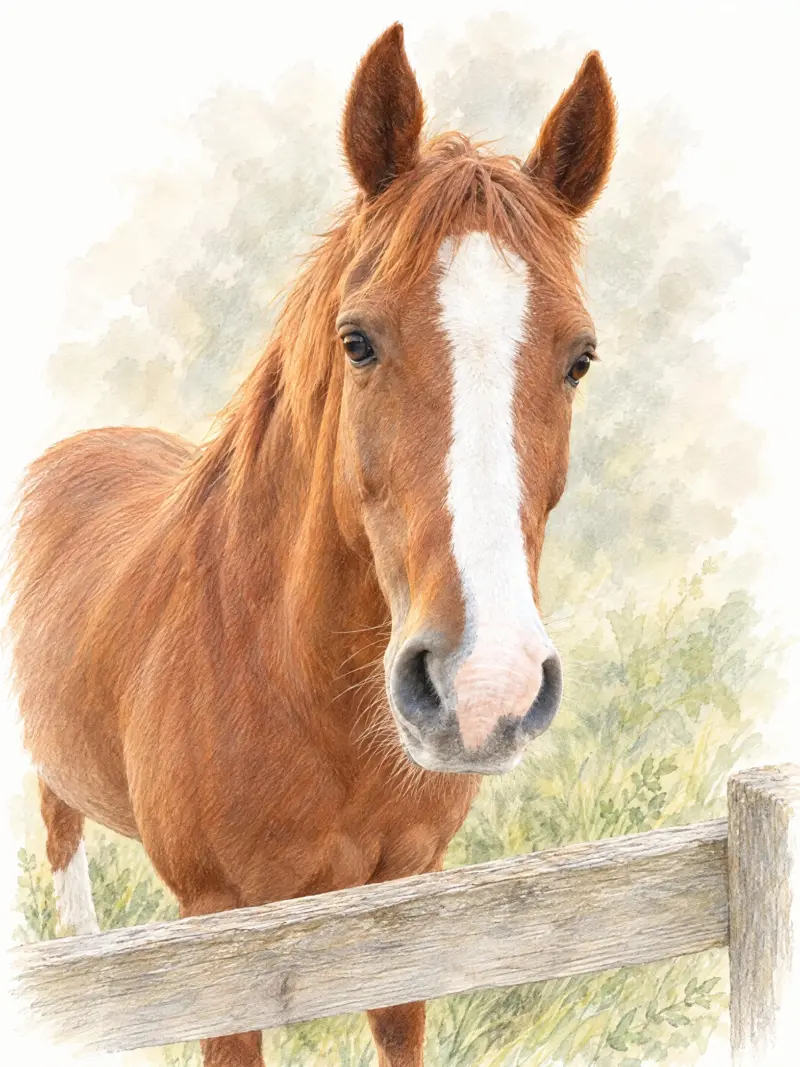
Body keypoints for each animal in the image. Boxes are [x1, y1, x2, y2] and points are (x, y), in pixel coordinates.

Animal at [7, 22, 616, 1067]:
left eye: (578, 359)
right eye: (357, 340)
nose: (484, 686)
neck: (296, 685)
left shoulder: (409, 910)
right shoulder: (220, 943)